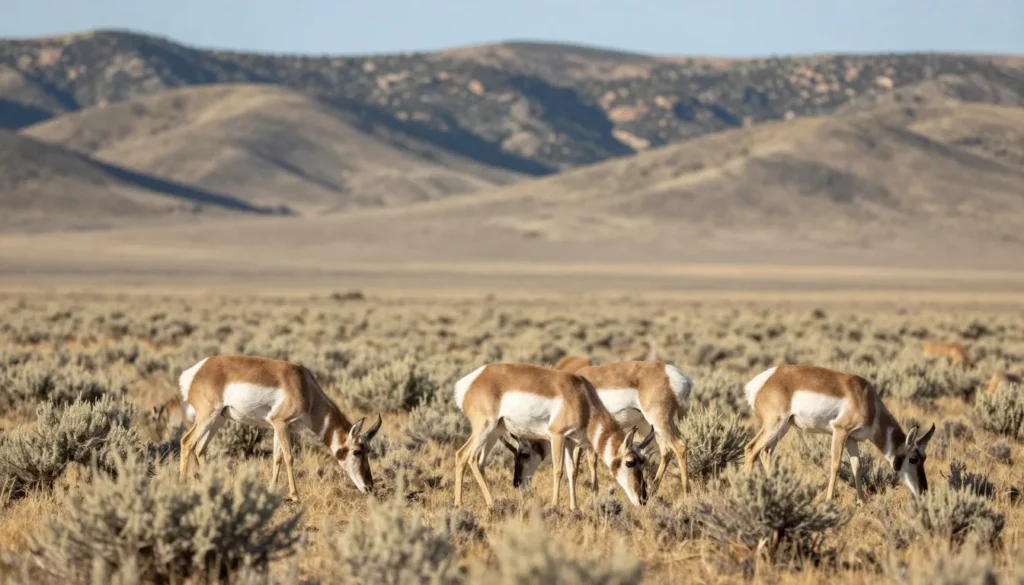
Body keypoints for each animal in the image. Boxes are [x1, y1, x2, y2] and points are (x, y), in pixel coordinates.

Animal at [177, 355, 382, 501]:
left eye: (368, 450)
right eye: (357, 451)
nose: (369, 487)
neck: (305, 386)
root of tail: (196, 371)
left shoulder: (282, 427)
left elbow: (277, 457)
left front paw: (272, 489)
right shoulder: (280, 423)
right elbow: (289, 457)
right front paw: (295, 495)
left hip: (218, 419)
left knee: (200, 448)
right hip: (207, 417)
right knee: (187, 441)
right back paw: (183, 487)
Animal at [453, 363, 655, 510]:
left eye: (643, 462)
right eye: (629, 462)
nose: (643, 499)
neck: (582, 396)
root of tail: (471, 380)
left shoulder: (570, 442)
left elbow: (572, 472)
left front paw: (574, 508)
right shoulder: (557, 436)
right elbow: (558, 470)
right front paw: (554, 505)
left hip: (494, 432)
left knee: (478, 462)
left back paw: (487, 502)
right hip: (484, 429)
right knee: (464, 455)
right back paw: (467, 504)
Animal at [509, 360, 693, 495]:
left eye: (524, 454)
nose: (517, 483)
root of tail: (677, 375)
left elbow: (580, 464)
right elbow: (590, 461)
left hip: (659, 421)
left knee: (680, 445)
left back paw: (686, 492)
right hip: (649, 426)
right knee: (666, 450)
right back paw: (653, 490)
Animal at [744, 365, 935, 501]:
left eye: (925, 458)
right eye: (913, 458)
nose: (923, 491)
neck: (868, 400)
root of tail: (763, 380)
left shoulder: (852, 439)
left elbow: (857, 467)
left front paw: (862, 502)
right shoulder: (840, 431)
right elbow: (835, 465)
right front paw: (829, 500)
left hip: (783, 428)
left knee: (765, 452)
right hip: (774, 425)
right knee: (751, 449)